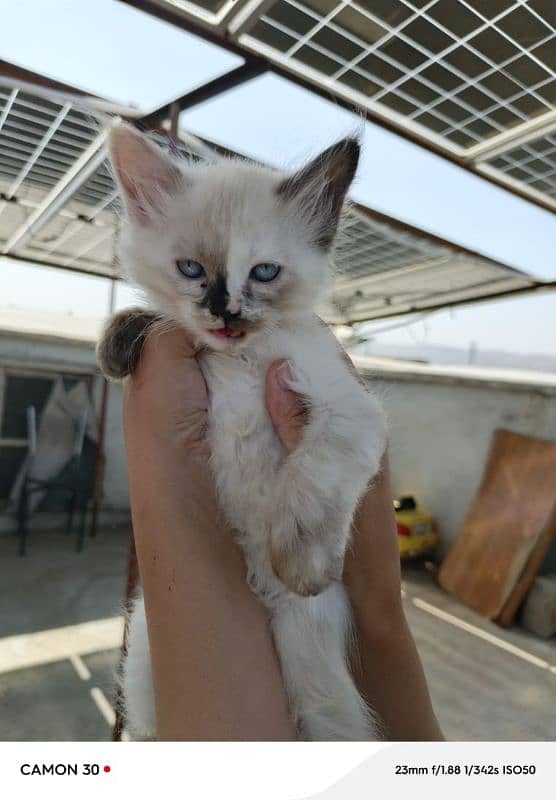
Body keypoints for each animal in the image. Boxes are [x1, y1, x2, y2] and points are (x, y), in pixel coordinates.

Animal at [96, 125, 386, 744]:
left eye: (264, 273)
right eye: (191, 269)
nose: (225, 312)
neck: (241, 360)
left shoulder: (348, 408)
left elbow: (314, 479)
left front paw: (303, 562)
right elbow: (153, 319)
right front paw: (117, 344)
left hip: (314, 676)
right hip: (146, 667)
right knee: (148, 732)